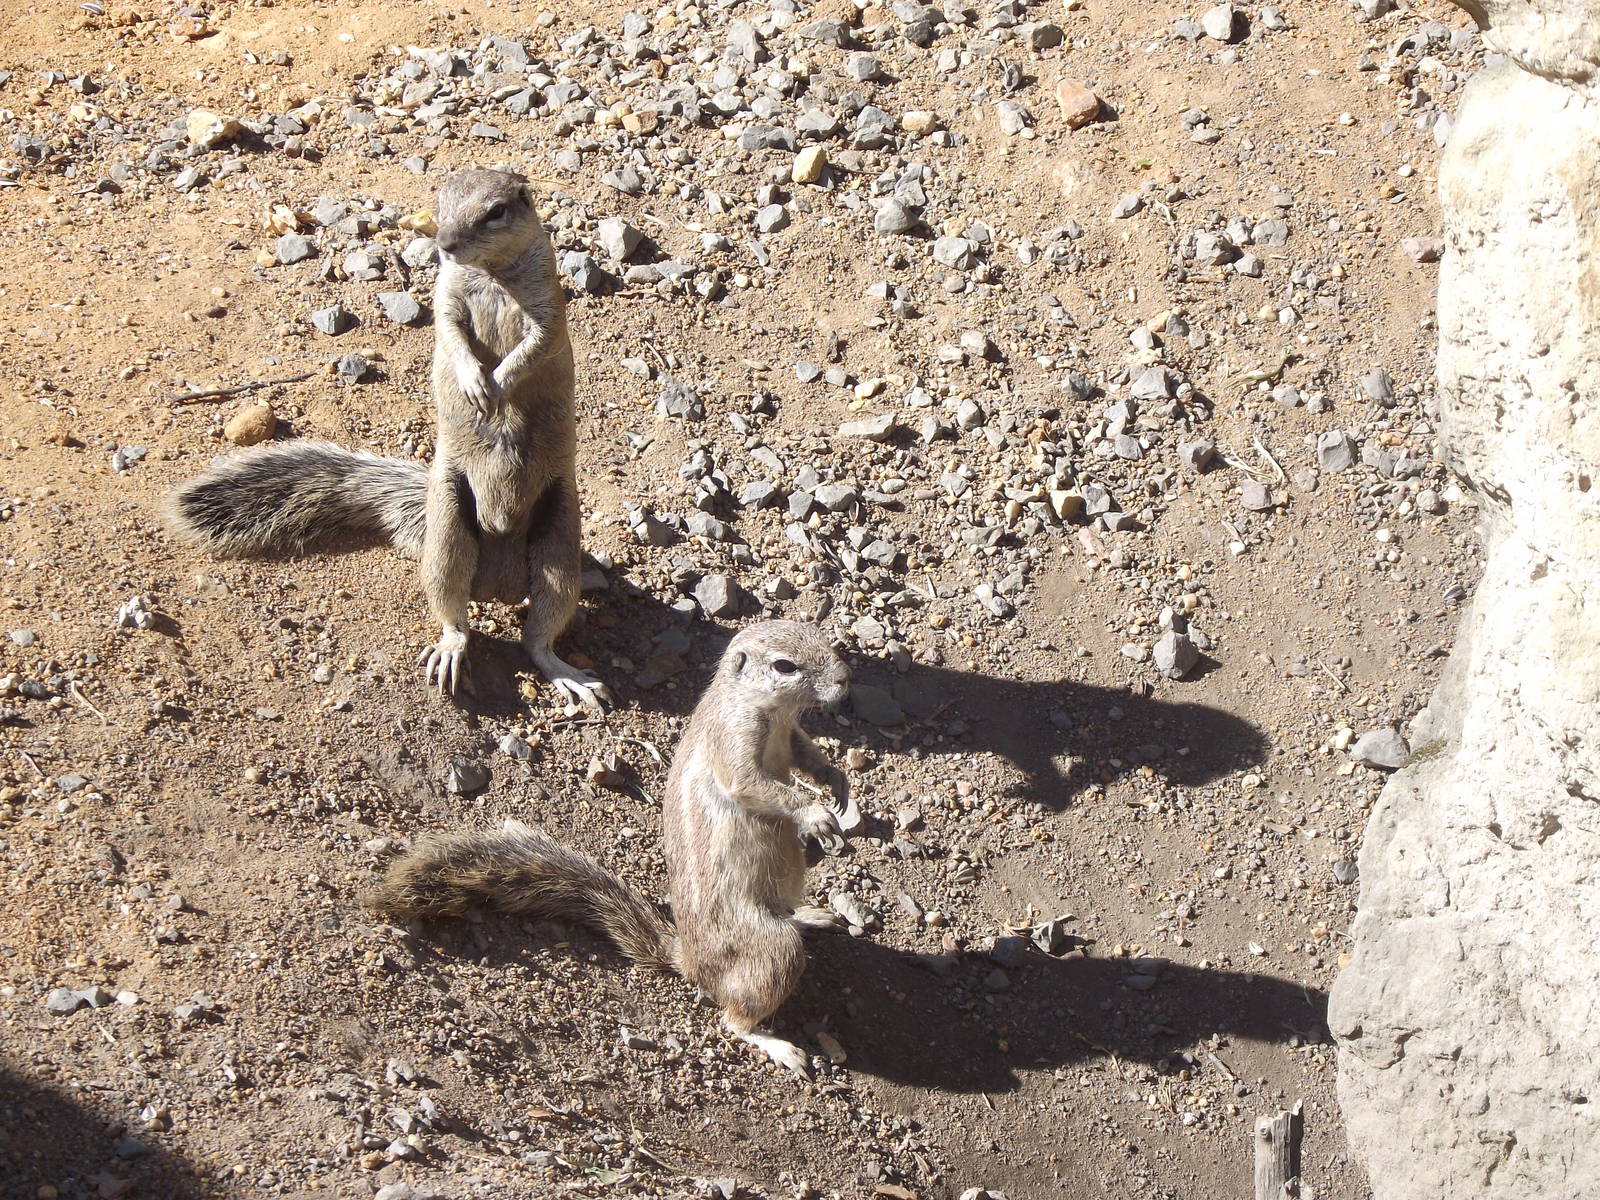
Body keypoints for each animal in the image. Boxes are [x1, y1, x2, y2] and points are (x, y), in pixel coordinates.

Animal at [165, 168, 609, 712]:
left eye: (497, 211)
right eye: (440, 202)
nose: (444, 243)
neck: (492, 274)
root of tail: (499, 584)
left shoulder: (548, 305)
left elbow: (533, 345)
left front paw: (499, 385)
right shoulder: (446, 298)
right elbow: (451, 334)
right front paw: (474, 383)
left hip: (559, 541)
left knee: (538, 640)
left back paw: (570, 675)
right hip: (447, 534)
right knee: (455, 619)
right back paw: (451, 651)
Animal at [365, 620, 858, 1076]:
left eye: (821, 636)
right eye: (784, 665)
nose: (844, 678)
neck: (765, 710)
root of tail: (688, 959)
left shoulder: (790, 735)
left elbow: (808, 756)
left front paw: (837, 785)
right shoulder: (733, 742)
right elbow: (754, 786)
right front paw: (815, 814)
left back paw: (812, 915)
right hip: (770, 948)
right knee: (734, 1020)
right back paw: (777, 1044)